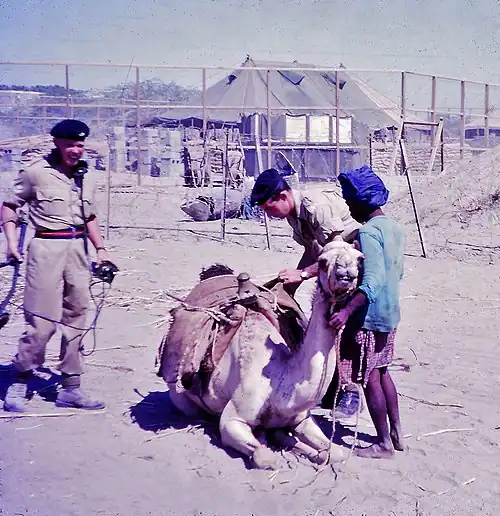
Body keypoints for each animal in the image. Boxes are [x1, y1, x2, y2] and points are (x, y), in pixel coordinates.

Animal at [157, 239, 364, 469]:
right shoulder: (232, 420)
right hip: (181, 397)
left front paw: (311, 450)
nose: (346, 275)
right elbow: (265, 457)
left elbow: (335, 453)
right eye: (322, 262)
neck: (280, 382)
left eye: (359, 258)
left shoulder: (303, 419)